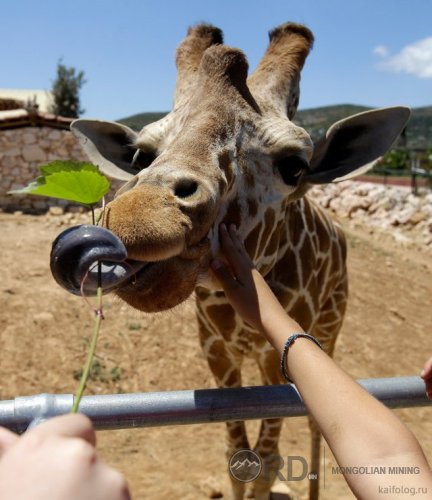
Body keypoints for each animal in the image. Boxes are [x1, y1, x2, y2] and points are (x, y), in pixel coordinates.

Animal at [70, 22, 408, 496]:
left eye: (294, 166)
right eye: (141, 155)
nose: (143, 216)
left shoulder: (277, 357)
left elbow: (268, 460)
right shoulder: (217, 351)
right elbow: (237, 456)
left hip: (331, 325)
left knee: (318, 425)